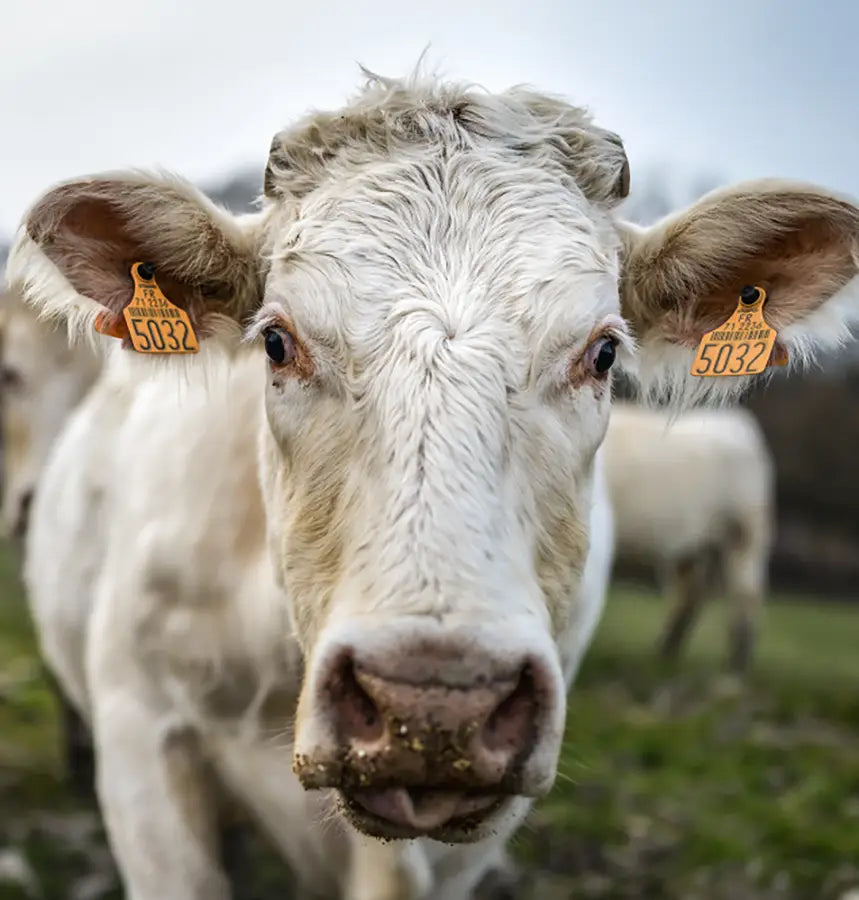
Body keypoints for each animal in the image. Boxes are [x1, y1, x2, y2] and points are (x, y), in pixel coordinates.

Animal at [603, 401, 775, 670]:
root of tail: (739, 422)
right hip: (694, 546)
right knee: (691, 592)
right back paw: (667, 649)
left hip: (745, 532)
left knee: (746, 592)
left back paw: (737, 663)